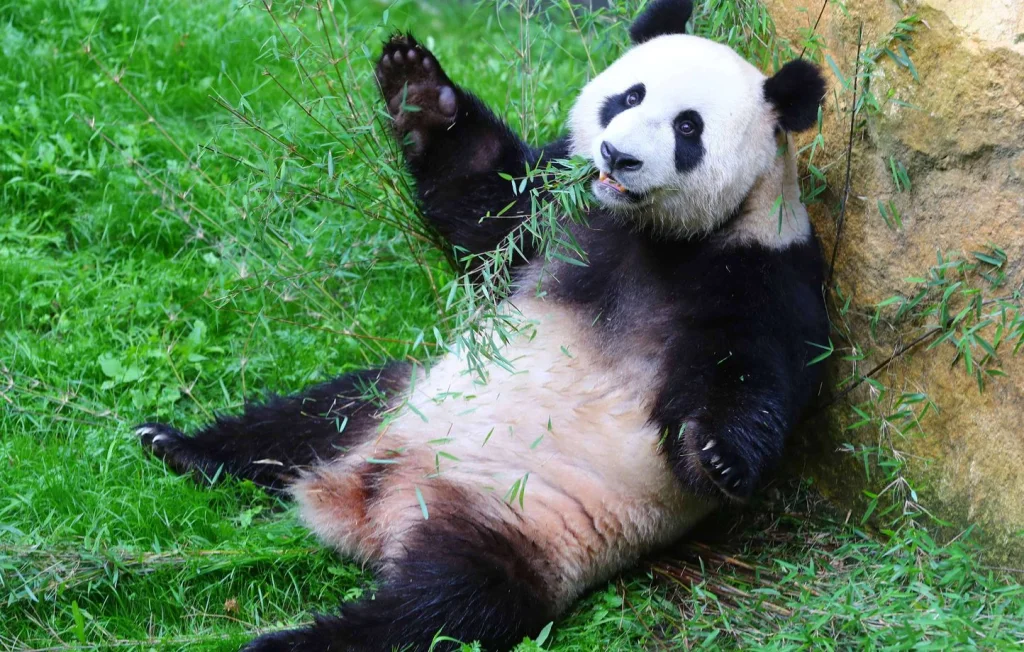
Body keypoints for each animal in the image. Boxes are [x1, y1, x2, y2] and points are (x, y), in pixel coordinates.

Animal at [136, 0, 829, 650]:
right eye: (629, 97)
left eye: (689, 127)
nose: (617, 155)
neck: (648, 232)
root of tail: (368, 508)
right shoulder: (556, 210)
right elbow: (484, 204)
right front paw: (415, 83)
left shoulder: (762, 271)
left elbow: (750, 372)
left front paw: (717, 455)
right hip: (391, 400)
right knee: (302, 419)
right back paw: (179, 445)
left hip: (519, 529)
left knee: (440, 607)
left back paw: (293, 639)